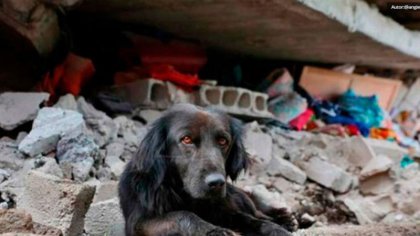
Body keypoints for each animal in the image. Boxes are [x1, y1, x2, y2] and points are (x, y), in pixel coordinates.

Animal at [118, 104, 296, 235]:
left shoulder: (226, 210)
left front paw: (276, 229)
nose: (216, 183)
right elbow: (182, 215)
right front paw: (215, 231)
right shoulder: (139, 223)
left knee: (257, 211)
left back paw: (285, 219)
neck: (190, 198)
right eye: (186, 139)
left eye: (223, 141)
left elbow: (251, 220)